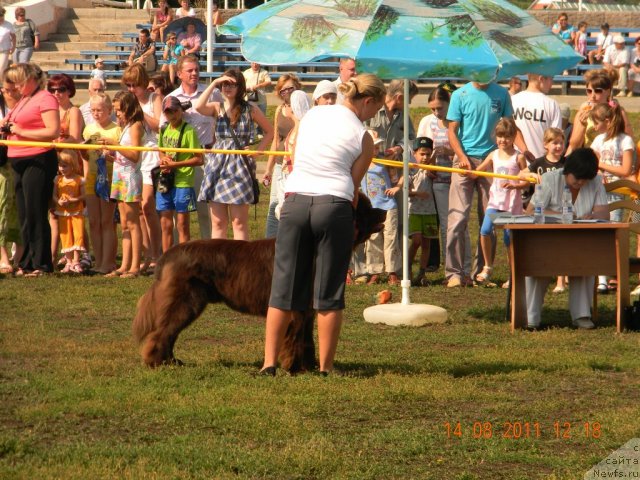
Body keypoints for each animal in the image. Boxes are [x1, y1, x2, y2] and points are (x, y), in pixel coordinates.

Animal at [132, 194, 384, 372]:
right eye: (366, 208)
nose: (384, 210)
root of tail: (168, 254)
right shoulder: (296, 310)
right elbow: (295, 340)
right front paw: (293, 368)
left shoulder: (307, 311)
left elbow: (307, 340)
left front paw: (308, 367)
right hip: (186, 301)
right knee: (163, 332)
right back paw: (157, 362)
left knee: (169, 332)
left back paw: (172, 361)